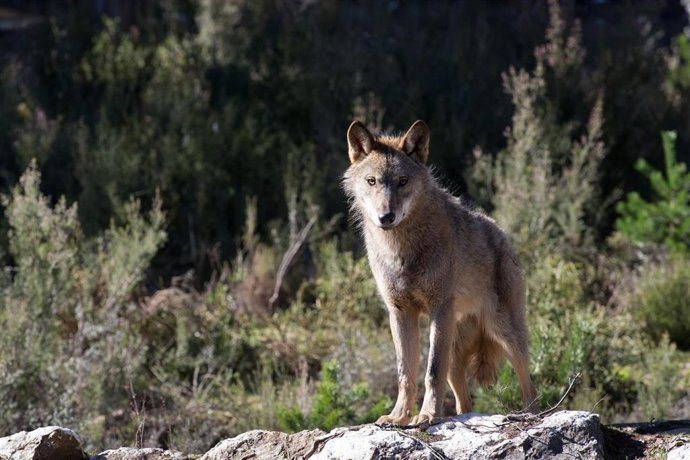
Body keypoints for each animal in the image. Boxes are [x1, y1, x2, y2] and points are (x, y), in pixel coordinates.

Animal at [342, 120, 537, 425]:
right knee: (463, 401)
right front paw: (399, 416)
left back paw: (531, 415)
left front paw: (427, 415)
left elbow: (431, 372)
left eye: (402, 181)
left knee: (529, 384)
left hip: (504, 332)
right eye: (372, 181)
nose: (386, 217)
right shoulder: (400, 313)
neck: (401, 250)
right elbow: (405, 373)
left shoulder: (439, 308)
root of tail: (501, 233)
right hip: (456, 354)